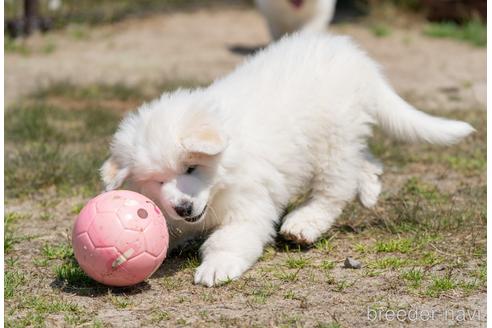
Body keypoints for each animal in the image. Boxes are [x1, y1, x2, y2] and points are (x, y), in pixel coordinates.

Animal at [100, 31, 472, 288]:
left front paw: (217, 267)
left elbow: (229, 239)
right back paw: (369, 188)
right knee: (364, 160)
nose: (183, 207)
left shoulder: (249, 206)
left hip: (332, 142)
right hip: (347, 135)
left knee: (334, 190)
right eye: (158, 180)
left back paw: (303, 224)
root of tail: (353, 56)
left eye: (191, 168)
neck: (226, 167)